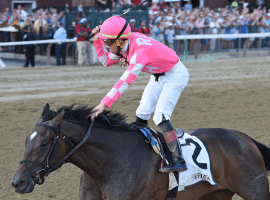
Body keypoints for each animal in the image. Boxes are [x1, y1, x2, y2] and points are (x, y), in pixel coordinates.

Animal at [11, 104, 270, 199]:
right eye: (26, 140)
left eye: (44, 143)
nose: (18, 182)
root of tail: (245, 138)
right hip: (214, 195)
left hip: (255, 190)